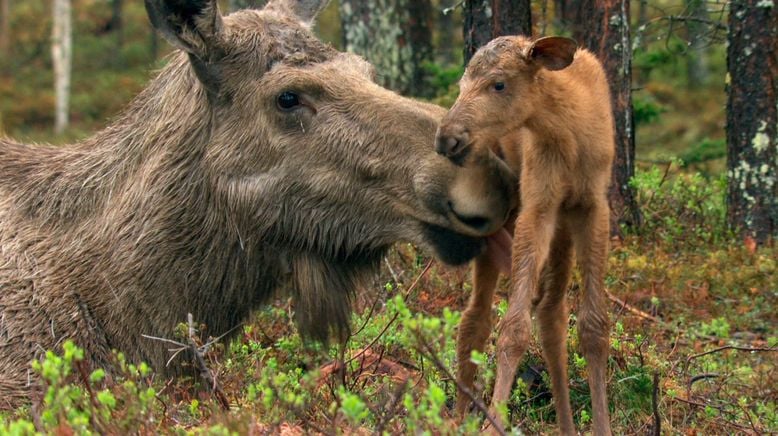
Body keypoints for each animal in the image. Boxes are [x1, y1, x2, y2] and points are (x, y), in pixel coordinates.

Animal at [436, 35, 612, 434]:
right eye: (462, 84)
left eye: (499, 84)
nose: (446, 138)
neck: (569, 132)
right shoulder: (538, 206)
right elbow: (513, 327)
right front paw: (495, 421)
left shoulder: (592, 207)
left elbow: (593, 326)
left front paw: (602, 427)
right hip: (496, 222)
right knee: (474, 319)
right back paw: (459, 416)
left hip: (560, 227)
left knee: (550, 314)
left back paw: (566, 426)